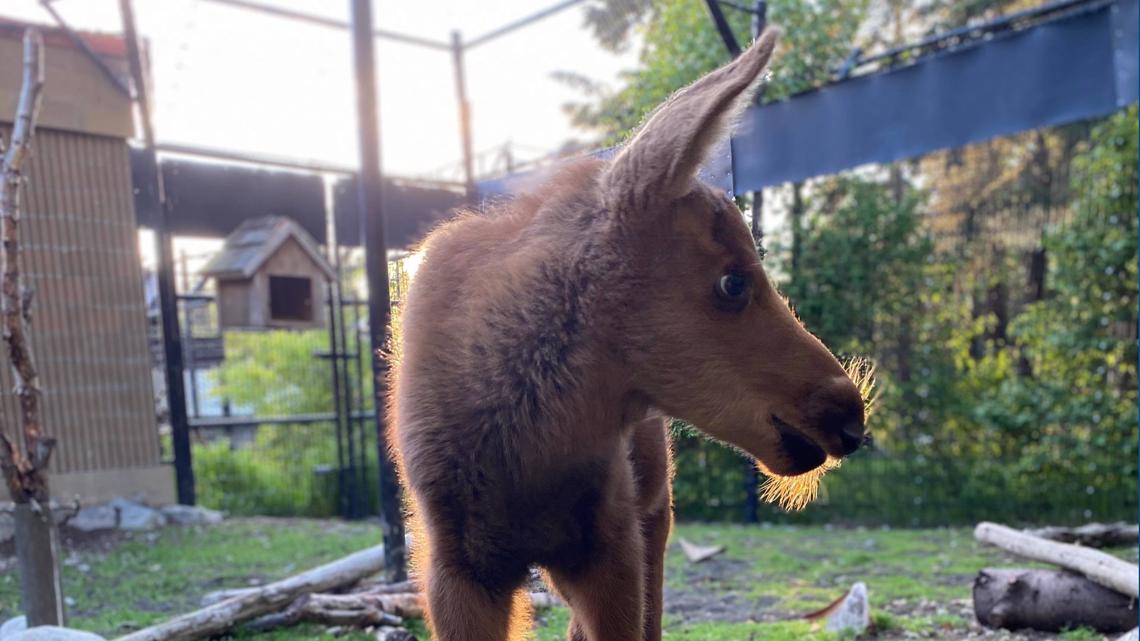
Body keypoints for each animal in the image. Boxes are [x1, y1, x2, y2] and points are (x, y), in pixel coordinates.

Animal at [389, 29, 861, 638]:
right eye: (733, 281)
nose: (851, 414)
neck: (526, 452)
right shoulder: (457, 570)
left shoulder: (611, 546)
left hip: (653, 509)